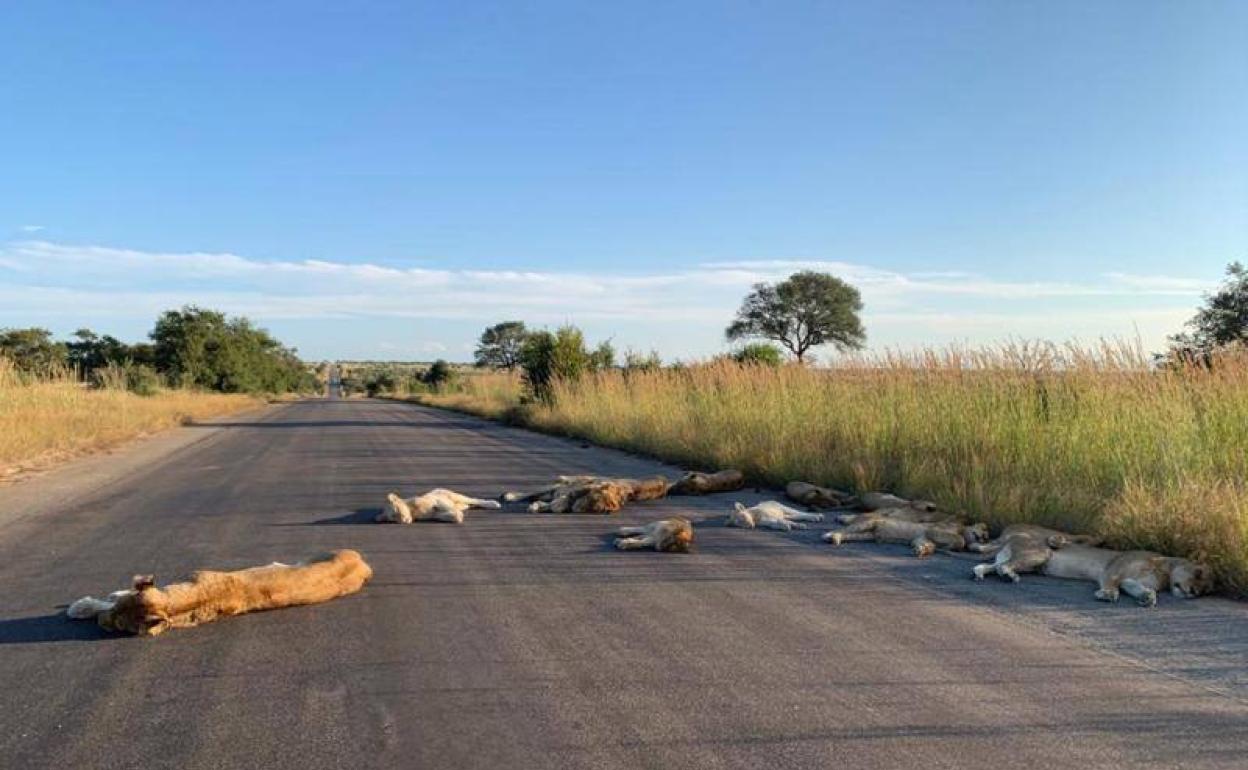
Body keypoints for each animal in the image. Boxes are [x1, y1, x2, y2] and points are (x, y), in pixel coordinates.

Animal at [823, 513, 989, 557]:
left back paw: (835, 539)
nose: (983, 538)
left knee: (848, 534)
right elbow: (960, 540)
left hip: (866, 535)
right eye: (985, 533)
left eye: (986, 538)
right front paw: (955, 546)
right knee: (843, 530)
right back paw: (830, 536)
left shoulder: (921, 538)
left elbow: (929, 546)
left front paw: (921, 551)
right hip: (867, 523)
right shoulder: (933, 530)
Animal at [1040, 544, 1214, 607]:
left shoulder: (1129, 580)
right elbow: (1111, 582)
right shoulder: (1114, 567)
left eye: (1205, 591)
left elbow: (1138, 587)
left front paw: (1147, 598)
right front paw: (1108, 594)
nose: (1194, 592)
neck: (1164, 572)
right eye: (1198, 573)